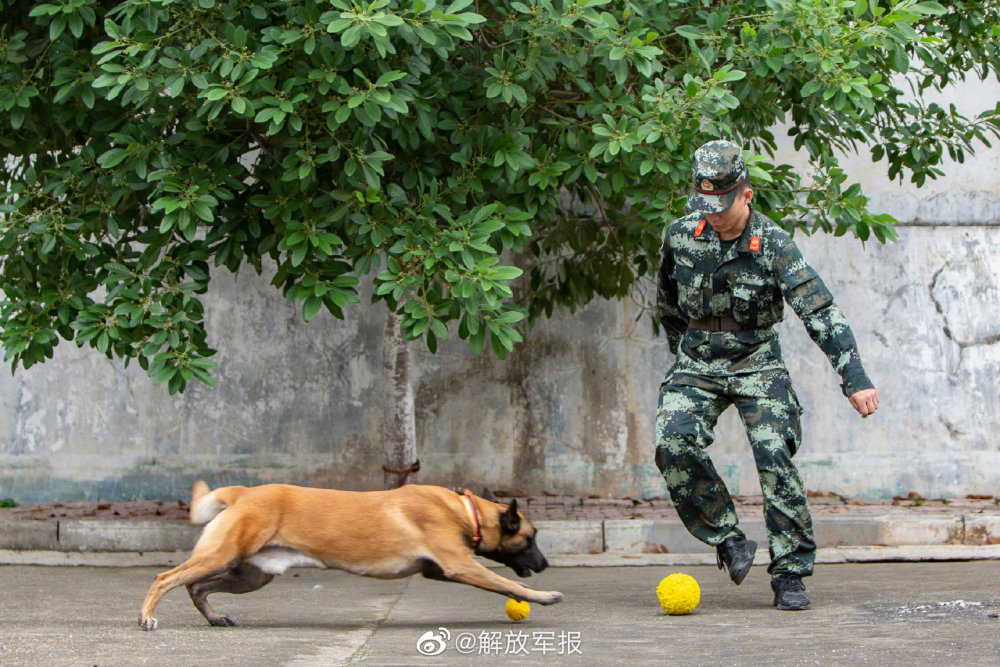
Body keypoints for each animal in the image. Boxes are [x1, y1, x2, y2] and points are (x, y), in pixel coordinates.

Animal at [139, 482, 564, 628]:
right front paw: (542, 596)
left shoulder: (440, 569)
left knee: (196, 588)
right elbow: (506, 583)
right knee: (166, 578)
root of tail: (242, 492)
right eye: (531, 538)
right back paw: (146, 617)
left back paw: (213, 617)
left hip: (250, 576)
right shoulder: (461, 565)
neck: (464, 510)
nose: (546, 565)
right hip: (224, 556)